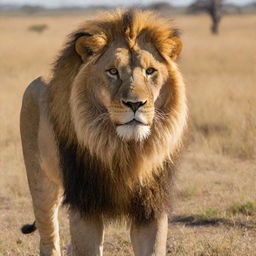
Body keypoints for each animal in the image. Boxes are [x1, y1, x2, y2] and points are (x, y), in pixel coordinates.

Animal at [20, 8, 187, 256]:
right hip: (41, 184)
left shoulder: (150, 207)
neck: (125, 149)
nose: (135, 104)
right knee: (48, 237)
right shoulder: (85, 205)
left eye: (150, 71)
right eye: (112, 71)